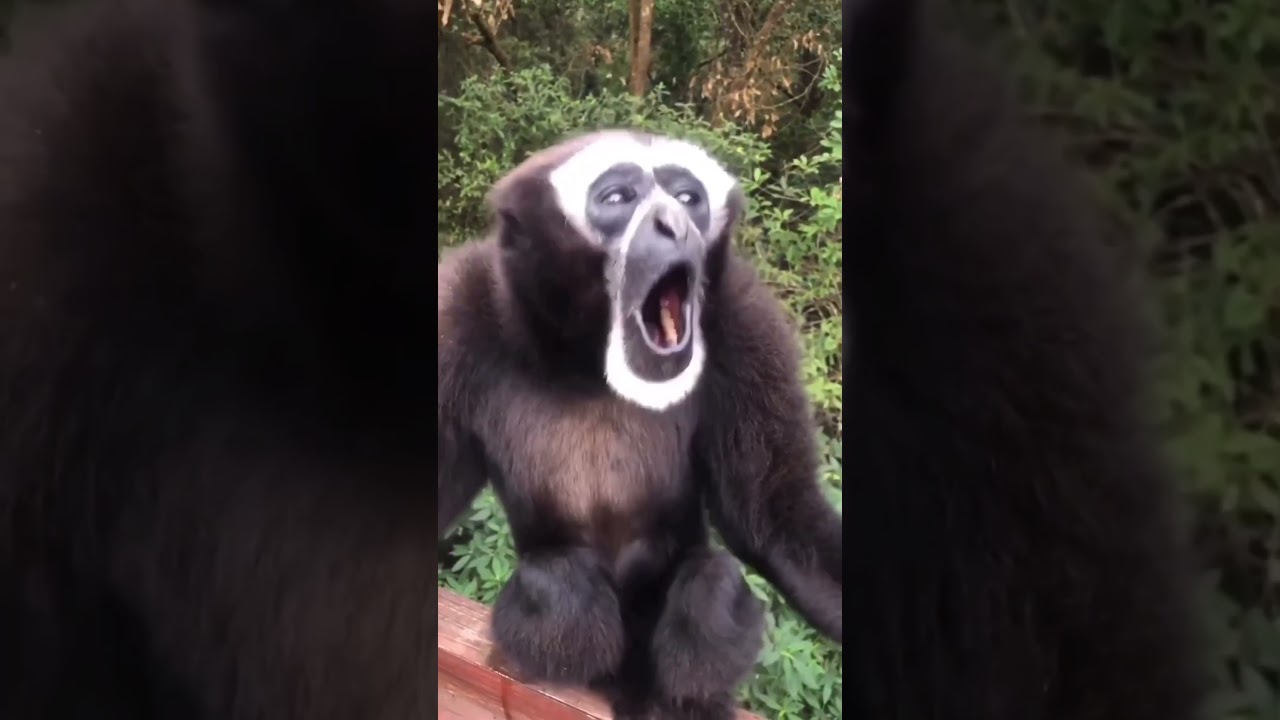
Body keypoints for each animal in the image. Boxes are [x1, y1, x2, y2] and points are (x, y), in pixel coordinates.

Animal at [437, 130, 844, 720]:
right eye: (618, 198)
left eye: (687, 197)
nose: (673, 222)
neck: (588, 367)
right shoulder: (455, 314)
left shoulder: (744, 321)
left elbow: (775, 521)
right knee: (558, 585)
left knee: (712, 581)